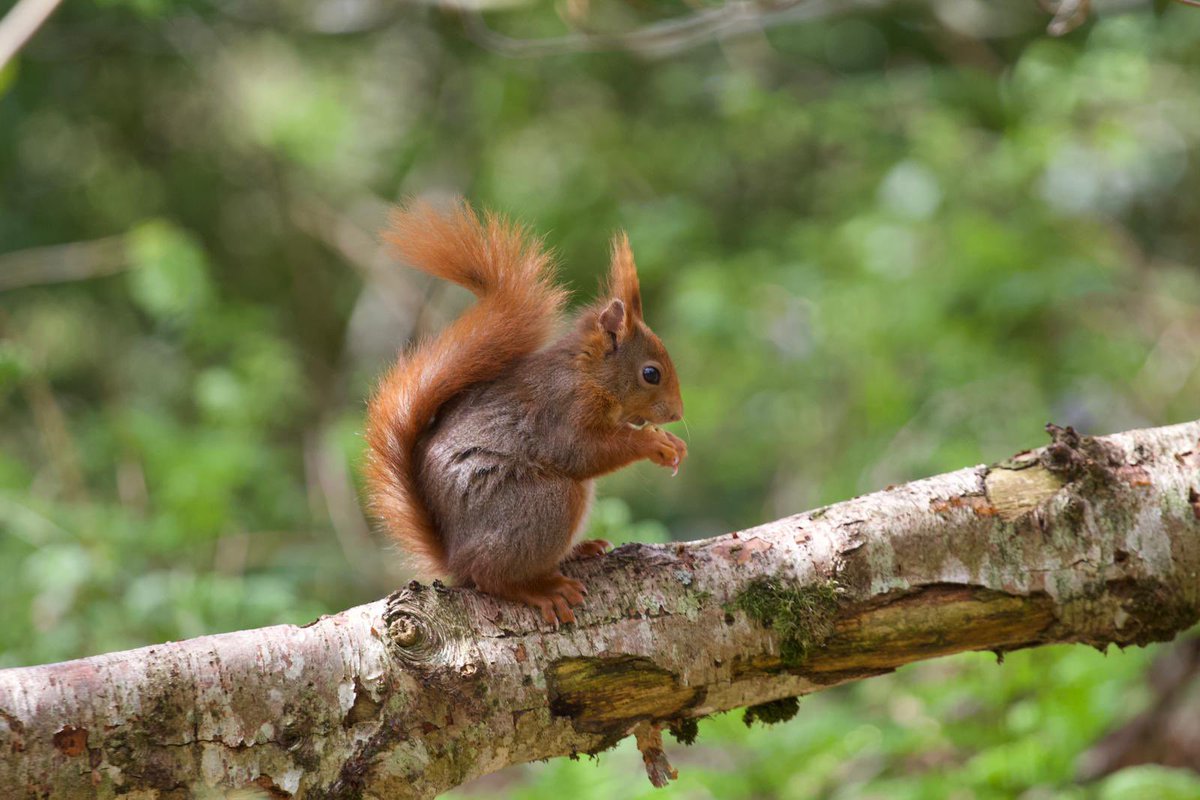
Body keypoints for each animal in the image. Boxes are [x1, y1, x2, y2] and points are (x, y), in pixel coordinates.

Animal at [362, 201, 686, 623]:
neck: (588, 374)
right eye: (651, 374)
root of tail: (455, 558)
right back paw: (539, 589)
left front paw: (673, 443)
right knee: (492, 577)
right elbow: (583, 452)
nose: (678, 413)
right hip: (543, 503)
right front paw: (653, 443)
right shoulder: (562, 410)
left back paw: (578, 550)